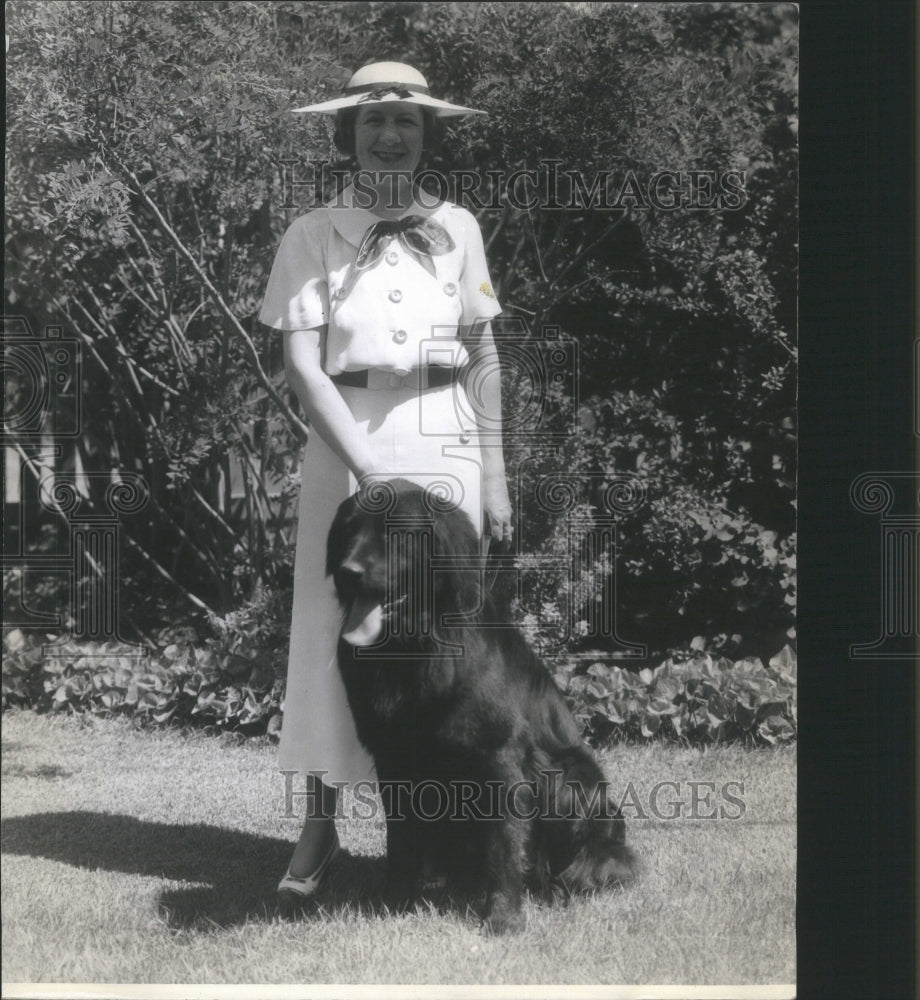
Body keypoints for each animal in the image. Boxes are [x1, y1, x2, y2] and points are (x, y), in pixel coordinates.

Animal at [328, 480, 636, 932]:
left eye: (394, 532)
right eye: (349, 529)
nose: (347, 572)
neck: (415, 647)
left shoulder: (500, 757)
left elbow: (505, 843)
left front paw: (504, 915)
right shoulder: (393, 757)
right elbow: (400, 838)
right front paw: (395, 899)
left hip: (572, 779)